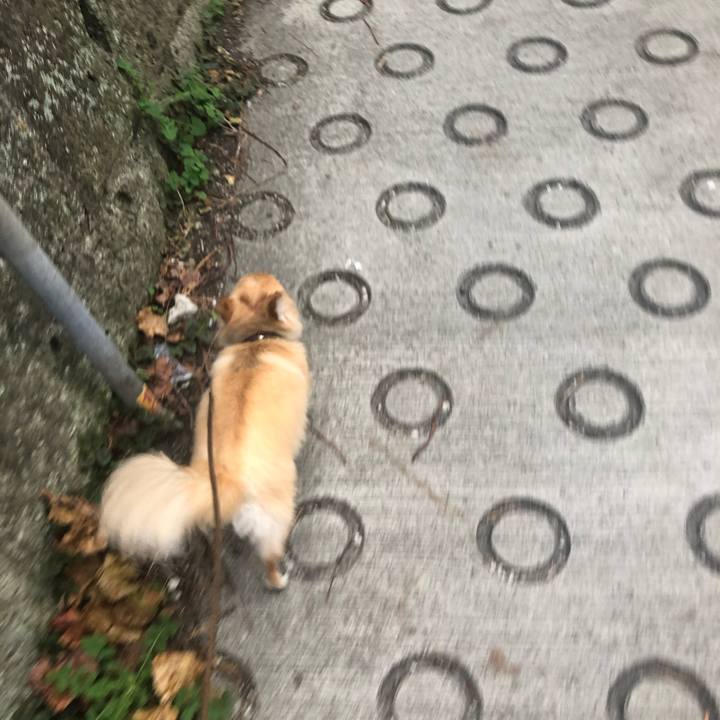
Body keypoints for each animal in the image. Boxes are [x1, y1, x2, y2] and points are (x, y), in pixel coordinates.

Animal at [99, 273, 310, 590]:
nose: (265, 274)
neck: (257, 339)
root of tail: (227, 478)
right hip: (277, 514)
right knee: (270, 558)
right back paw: (279, 578)